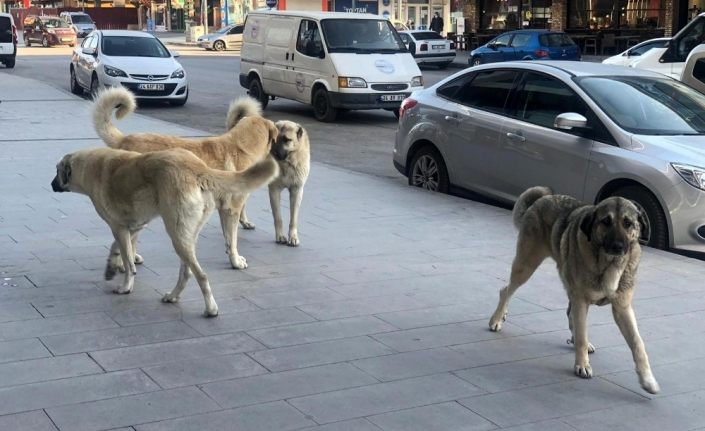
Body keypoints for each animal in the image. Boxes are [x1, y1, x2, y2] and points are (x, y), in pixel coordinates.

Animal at [51, 147, 276, 316]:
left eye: (56, 171)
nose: (52, 185)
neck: (88, 167)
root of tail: (198, 168)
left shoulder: (119, 228)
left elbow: (128, 261)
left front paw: (126, 286)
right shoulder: (134, 226)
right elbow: (122, 250)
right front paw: (112, 266)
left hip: (177, 235)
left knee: (201, 275)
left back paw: (211, 309)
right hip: (185, 236)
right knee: (186, 272)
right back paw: (173, 296)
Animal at [486, 186, 656, 394]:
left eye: (628, 223)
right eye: (606, 221)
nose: (618, 247)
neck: (608, 264)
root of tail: (543, 198)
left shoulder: (622, 308)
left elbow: (638, 344)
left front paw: (647, 379)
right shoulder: (581, 300)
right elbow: (582, 335)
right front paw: (582, 364)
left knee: (570, 313)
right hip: (526, 265)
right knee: (506, 290)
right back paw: (497, 318)